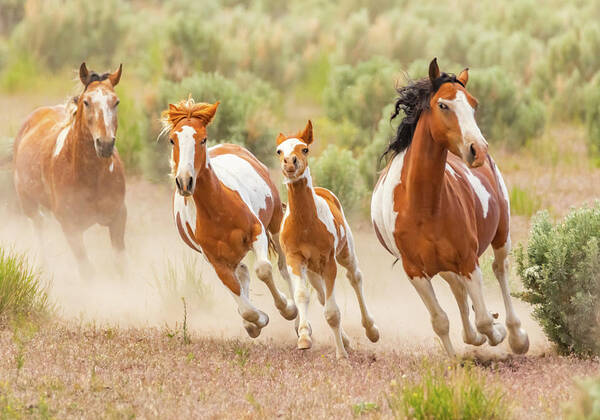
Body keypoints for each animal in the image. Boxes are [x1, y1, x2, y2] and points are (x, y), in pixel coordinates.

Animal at [12, 63, 126, 276]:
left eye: (116, 102)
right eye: (87, 102)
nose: (105, 144)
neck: (91, 177)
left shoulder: (118, 217)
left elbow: (121, 266)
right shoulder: (70, 228)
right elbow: (87, 272)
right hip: (27, 201)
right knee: (38, 225)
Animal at [162, 97, 298, 336]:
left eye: (203, 139)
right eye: (172, 140)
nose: (185, 182)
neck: (218, 212)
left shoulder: (257, 232)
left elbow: (264, 270)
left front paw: (287, 308)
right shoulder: (216, 261)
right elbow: (243, 304)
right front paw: (257, 321)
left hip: (275, 223)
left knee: (283, 266)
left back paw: (299, 320)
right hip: (231, 255)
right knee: (243, 273)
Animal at [276, 120, 380, 358]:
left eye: (304, 148)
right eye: (279, 151)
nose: (290, 163)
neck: (305, 224)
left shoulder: (329, 262)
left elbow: (332, 312)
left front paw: (341, 354)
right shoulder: (295, 260)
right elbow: (302, 296)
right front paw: (304, 338)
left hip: (345, 254)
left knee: (355, 278)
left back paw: (371, 330)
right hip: (314, 270)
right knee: (322, 296)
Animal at [370, 57, 528, 356]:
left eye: (473, 103)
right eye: (443, 105)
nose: (478, 149)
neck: (423, 206)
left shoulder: (468, 259)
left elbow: (483, 319)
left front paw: (496, 329)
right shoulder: (415, 271)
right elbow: (441, 321)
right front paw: (456, 358)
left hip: (501, 234)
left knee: (500, 270)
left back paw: (515, 335)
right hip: (443, 267)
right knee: (458, 291)